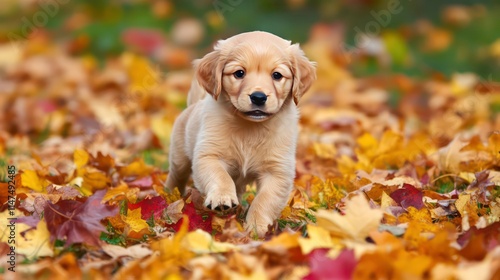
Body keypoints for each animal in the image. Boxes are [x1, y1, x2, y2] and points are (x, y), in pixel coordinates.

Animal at [168, 30, 316, 236]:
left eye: (277, 75)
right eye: (239, 73)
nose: (258, 97)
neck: (250, 128)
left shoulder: (278, 171)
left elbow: (265, 200)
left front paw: (256, 227)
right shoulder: (208, 155)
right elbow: (219, 176)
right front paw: (222, 198)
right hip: (179, 158)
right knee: (175, 177)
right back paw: (168, 197)